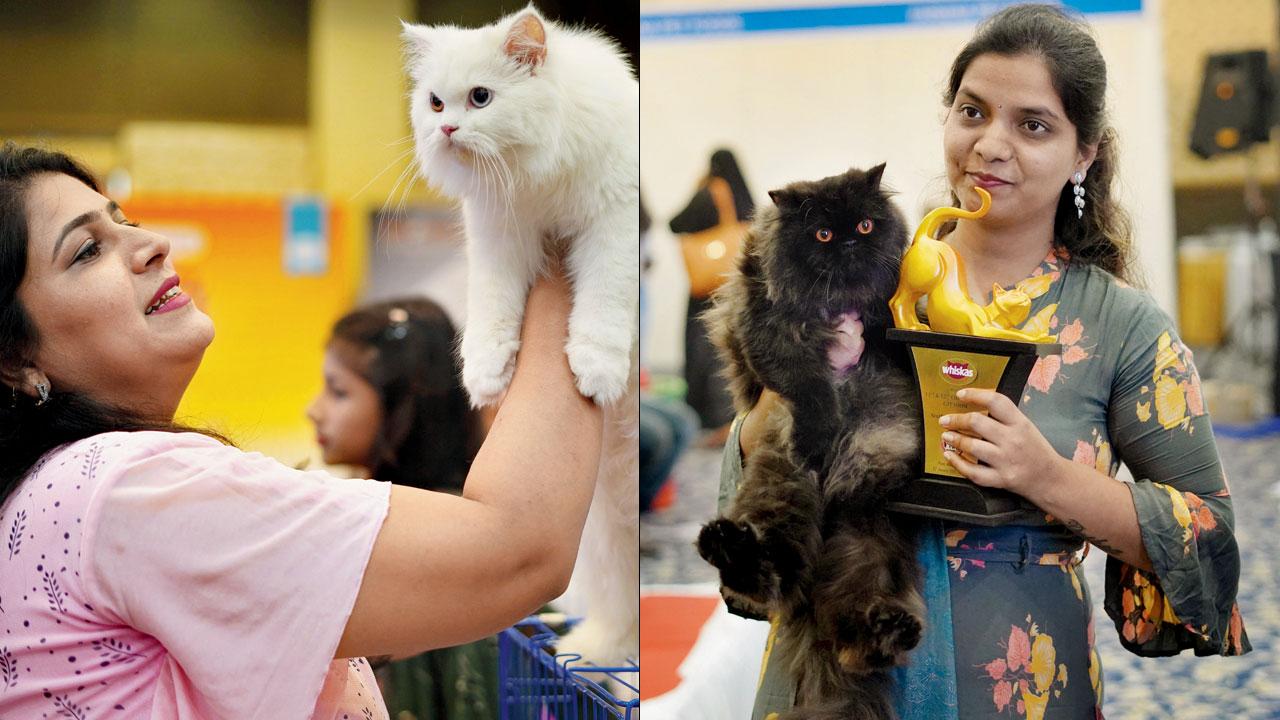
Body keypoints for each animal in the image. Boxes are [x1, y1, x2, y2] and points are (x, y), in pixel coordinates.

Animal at [399, 4, 640, 666]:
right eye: (434, 102)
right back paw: (592, 653)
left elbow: (602, 308)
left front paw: (595, 371)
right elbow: (491, 314)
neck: (535, 183)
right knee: (615, 614)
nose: (447, 128)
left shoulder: (612, 225)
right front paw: (486, 378)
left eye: (480, 98)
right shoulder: (498, 237)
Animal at [696, 165, 926, 712]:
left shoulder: (887, 322)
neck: (839, 299)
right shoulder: (768, 332)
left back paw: (890, 630)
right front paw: (816, 434)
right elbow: (810, 388)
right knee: (769, 578)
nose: (848, 243)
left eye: (865, 225)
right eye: (822, 234)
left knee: (857, 639)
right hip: (780, 494)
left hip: (869, 539)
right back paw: (732, 550)